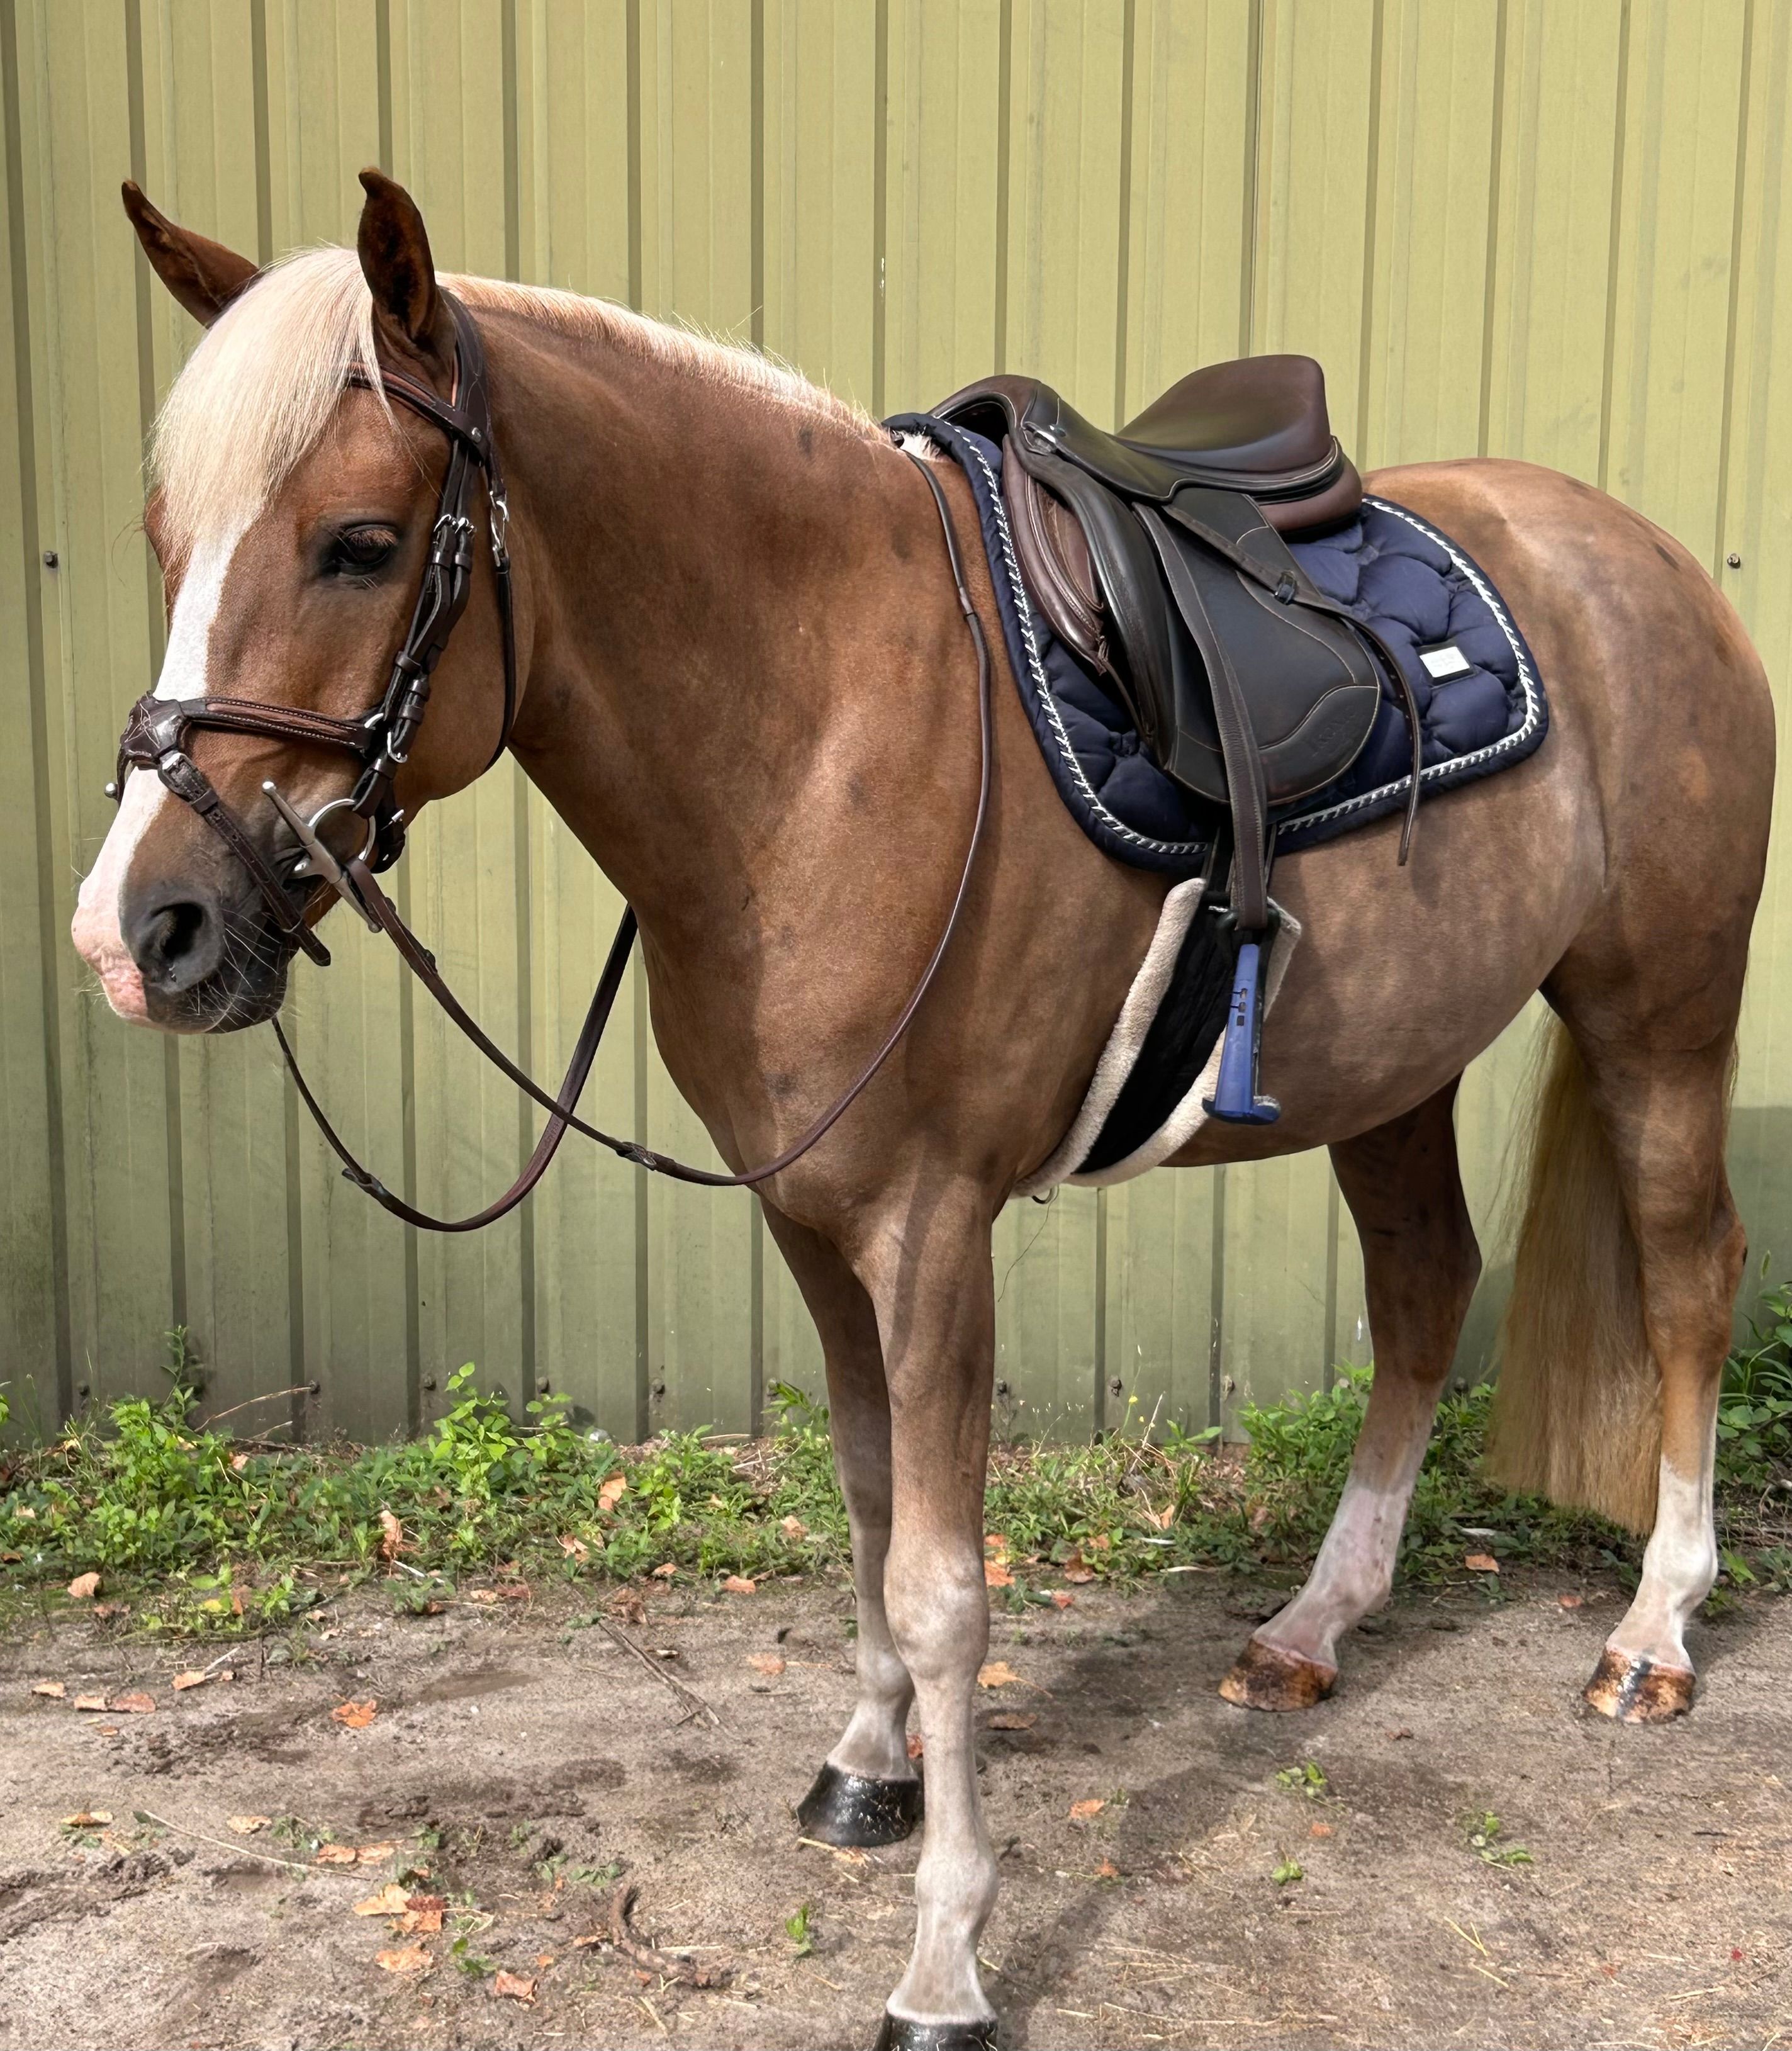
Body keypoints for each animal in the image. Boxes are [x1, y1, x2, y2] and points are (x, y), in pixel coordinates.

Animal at [72, 171, 1773, 2050]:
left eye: (362, 543)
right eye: (164, 535)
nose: (140, 934)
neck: (823, 721)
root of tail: (1637, 556)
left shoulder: (932, 1224)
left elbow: (947, 1585)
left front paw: (944, 1955)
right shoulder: (812, 1219)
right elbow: (871, 1502)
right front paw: (865, 1768)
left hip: (1659, 1013)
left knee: (1686, 1284)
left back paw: (1652, 1635)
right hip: (1396, 1060)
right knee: (1421, 1292)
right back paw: (1316, 1625)